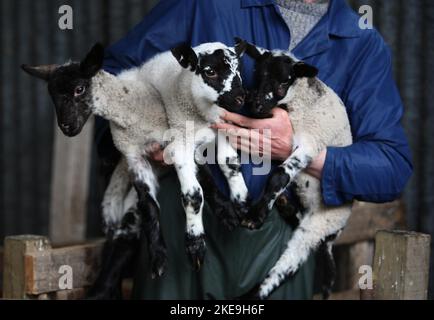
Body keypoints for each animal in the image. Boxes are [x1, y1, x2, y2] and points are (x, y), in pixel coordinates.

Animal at [21, 41, 251, 298]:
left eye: (80, 89)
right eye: (52, 94)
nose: (67, 127)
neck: (133, 109)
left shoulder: (175, 142)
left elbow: (203, 182)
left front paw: (226, 215)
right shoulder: (134, 156)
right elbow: (150, 204)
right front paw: (158, 257)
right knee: (120, 240)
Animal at [237, 40, 352, 300]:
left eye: (283, 81)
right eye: (257, 74)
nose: (256, 103)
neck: (301, 100)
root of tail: (333, 237)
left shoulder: (310, 144)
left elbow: (278, 176)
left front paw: (254, 216)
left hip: (318, 226)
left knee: (286, 268)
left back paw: (252, 295)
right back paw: (286, 207)